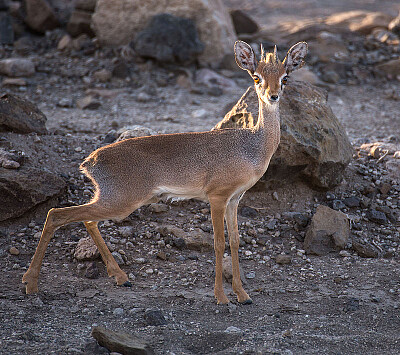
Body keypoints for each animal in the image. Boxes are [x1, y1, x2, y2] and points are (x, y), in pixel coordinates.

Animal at [23, 40, 308, 304]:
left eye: (285, 77)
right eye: (256, 76)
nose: (273, 96)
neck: (252, 146)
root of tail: (90, 161)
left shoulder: (234, 199)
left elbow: (236, 241)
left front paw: (243, 294)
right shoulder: (217, 197)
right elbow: (218, 243)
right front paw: (221, 296)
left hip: (113, 201)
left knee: (85, 220)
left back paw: (121, 277)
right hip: (120, 202)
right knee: (56, 214)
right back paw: (30, 283)